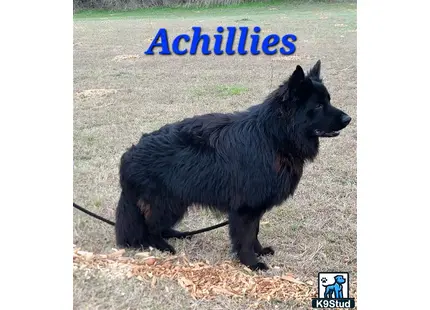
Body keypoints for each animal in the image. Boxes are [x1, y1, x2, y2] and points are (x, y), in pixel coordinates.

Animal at [116, 60, 352, 268]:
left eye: (328, 100)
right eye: (319, 105)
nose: (348, 119)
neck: (273, 136)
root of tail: (129, 155)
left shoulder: (254, 207)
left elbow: (255, 232)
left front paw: (259, 252)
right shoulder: (245, 209)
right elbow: (245, 237)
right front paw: (251, 263)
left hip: (176, 202)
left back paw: (176, 235)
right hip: (168, 203)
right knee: (150, 227)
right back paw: (162, 246)